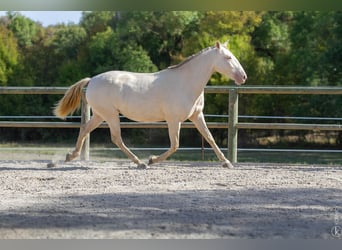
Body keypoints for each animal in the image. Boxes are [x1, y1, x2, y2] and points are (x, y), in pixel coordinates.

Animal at [53, 42, 247, 169]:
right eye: (228, 57)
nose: (243, 77)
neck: (185, 83)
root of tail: (92, 80)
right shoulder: (173, 119)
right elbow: (175, 145)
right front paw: (152, 159)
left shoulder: (196, 116)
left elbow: (210, 137)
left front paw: (226, 162)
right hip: (110, 115)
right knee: (116, 138)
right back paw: (140, 163)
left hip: (101, 115)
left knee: (85, 129)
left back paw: (68, 157)